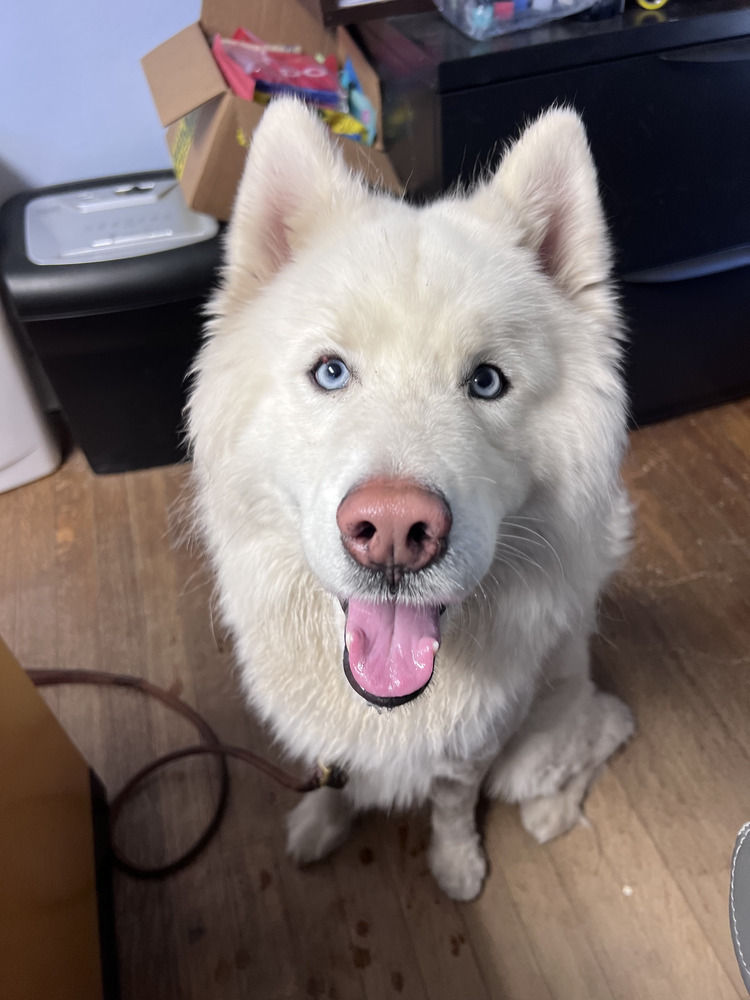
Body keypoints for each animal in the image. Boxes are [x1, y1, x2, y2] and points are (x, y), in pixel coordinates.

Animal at [188, 99, 636, 900]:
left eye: (486, 381)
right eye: (331, 372)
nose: (395, 528)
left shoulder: (471, 749)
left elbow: (453, 805)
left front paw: (457, 865)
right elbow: (332, 778)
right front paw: (320, 824)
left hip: (540, 742)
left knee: (605, 733)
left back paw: (552, 812)